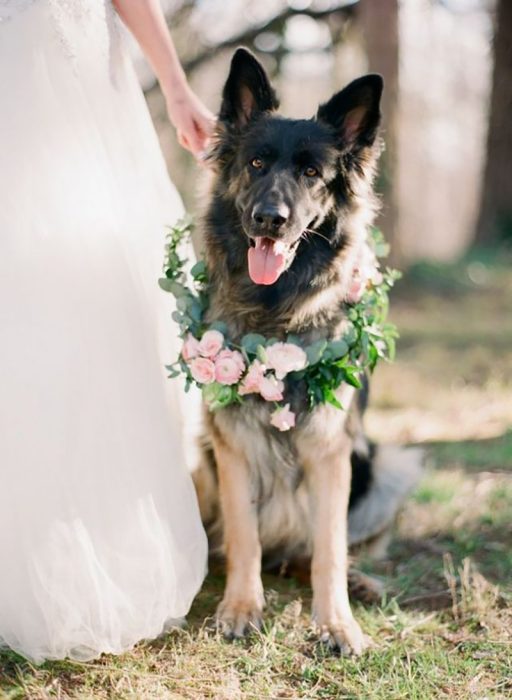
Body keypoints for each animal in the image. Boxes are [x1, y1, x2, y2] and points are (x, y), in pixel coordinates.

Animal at [192, 50, 420, 656]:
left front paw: (336, 623)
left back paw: (358, 584)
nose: (270, 219)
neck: (278, 315)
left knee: (315, 550)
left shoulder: (330, 450)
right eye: (255, 163)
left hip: (384, 468)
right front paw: (241, 607)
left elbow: (329, 550)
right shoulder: (232, 445)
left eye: (312, 174)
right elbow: (244, 536)